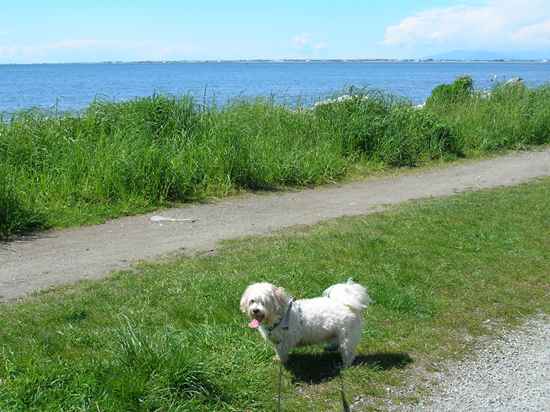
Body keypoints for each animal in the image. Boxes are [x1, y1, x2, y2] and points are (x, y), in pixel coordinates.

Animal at [240, 280, 370, 366]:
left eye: (264, 302)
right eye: (252, 301)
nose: (255, 310)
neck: (281, 316)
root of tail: (346, 304)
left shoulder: (285, 341)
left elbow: (282, 352)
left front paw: (281, 361)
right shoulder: (277, 340)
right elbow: (278, 350)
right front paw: (277, 358)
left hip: (347, 337)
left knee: (348, 352)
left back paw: (345, 365)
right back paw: (331, 347)